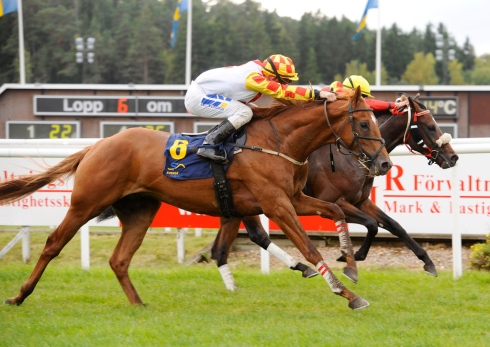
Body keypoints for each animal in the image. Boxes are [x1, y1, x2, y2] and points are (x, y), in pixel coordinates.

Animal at [0, 88, 390, 312]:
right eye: (365, 124)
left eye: (376, 121)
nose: (384, 163)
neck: (278, 141)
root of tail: (98, 145)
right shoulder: (276, 204)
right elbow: (309, 248)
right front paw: (348, 294)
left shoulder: (294, 198)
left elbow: (336, 209)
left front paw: (351, 265)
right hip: (87, 202)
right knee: (53, 243)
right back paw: (20, 295)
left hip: (140, 211)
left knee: (119, 259)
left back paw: (138, 304)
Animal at [212, 95, 460, 290]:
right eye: (430, 126)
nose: (453, 157)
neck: (351, 157)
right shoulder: (334, 200)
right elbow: (372, 224)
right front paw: (351, 256)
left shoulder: (361, 201)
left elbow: (394, 225)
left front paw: (427, 261)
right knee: (254, 236)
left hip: (236, 205)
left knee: (231, 244)